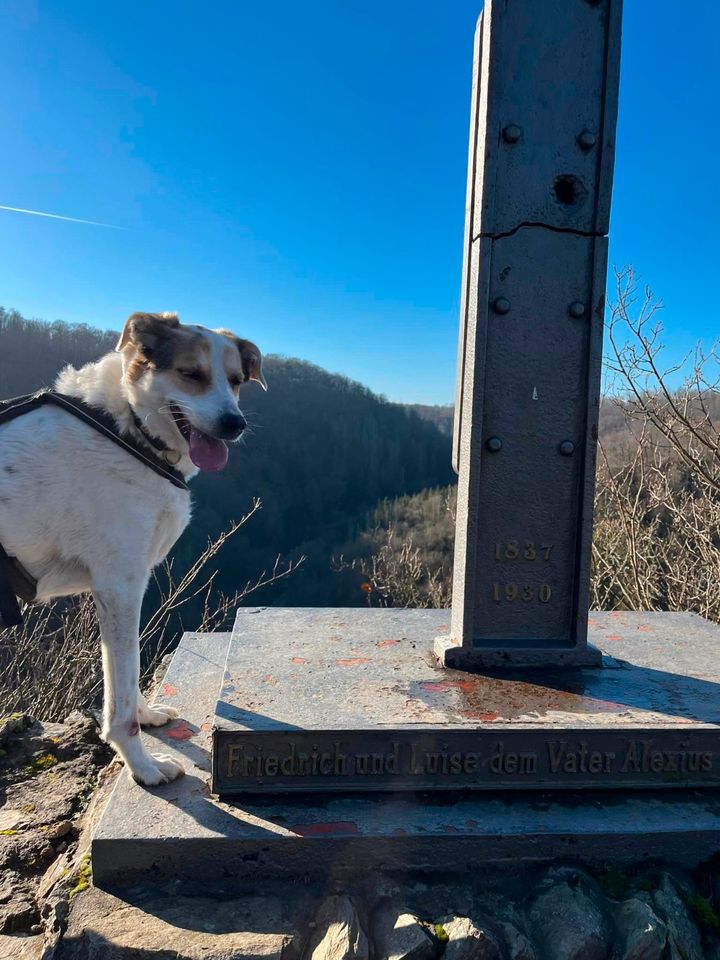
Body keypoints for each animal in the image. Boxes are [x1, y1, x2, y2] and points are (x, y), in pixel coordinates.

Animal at [0, 316, 266, 788]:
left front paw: (147, 714)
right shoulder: (119, 585)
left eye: (237, 380)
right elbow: (120, 698)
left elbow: (129, 669)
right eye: (191, 374)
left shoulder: (125, 587)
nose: (233, 423)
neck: (129, 428)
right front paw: (142, 766)